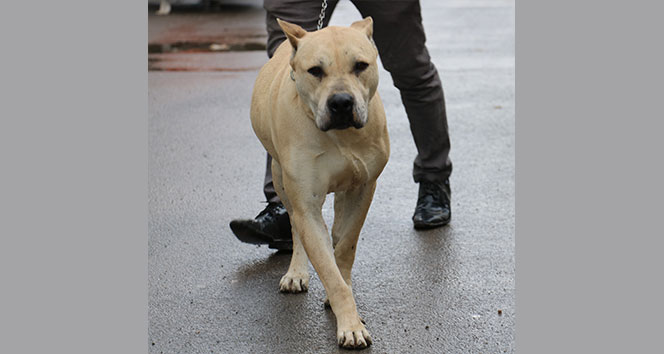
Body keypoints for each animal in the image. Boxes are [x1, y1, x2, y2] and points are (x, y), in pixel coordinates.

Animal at [252, 17, 392, 348]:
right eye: (315, 70)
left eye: (360, 65)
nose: (341, 102)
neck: (341, 136)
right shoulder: (306, 203)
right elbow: (325, 263)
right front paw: (350, 325)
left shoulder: (362, 189)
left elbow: (345, 247)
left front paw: (343, 296)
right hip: (281, 178)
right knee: (294, 225)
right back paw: (296, 272)